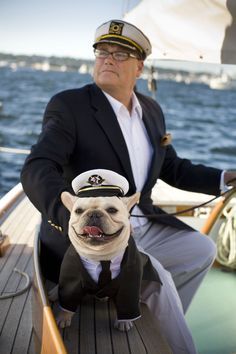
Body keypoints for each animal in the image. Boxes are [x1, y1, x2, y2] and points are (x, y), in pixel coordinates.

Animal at [49, 170, 161, 330]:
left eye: (112, 210)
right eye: (78, 211)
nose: (94, 213)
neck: (101, 256)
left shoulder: (130, 279)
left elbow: (127, 301)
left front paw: (124, 322)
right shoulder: (72, 277)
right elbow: (68, 300)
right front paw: (63, 318)